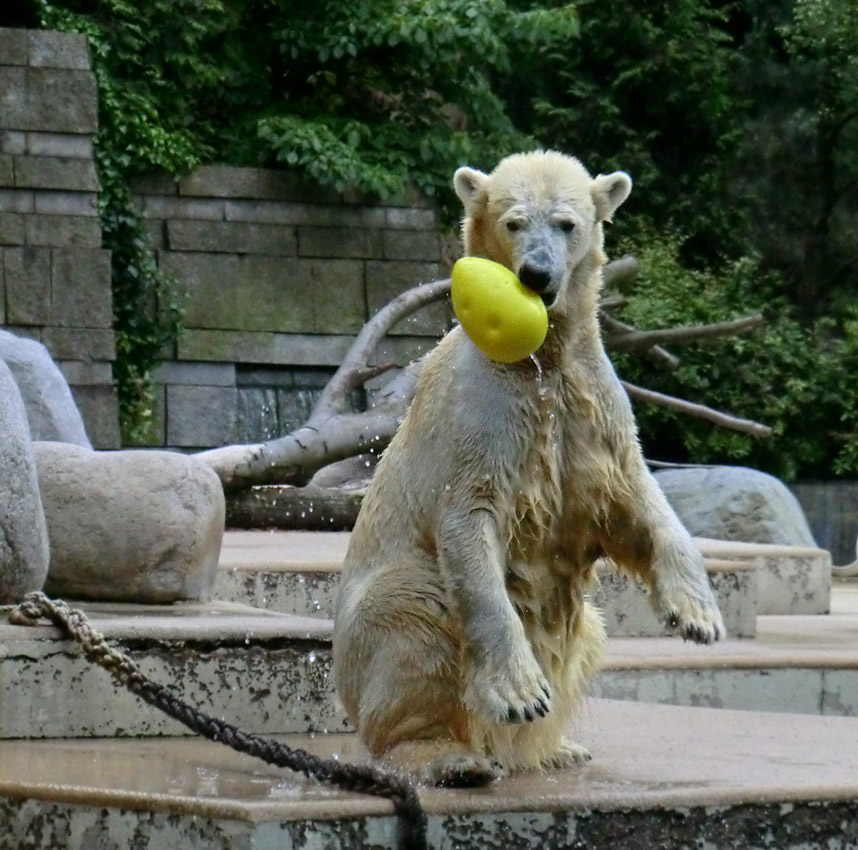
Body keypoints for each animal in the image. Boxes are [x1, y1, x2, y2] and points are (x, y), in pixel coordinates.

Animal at [332, 149, 720, 784]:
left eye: (566, 223)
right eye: (514, 222)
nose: (537, 273)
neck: (540, 358)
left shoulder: (592, 409)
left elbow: (633, 501)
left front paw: (696, 615)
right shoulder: (483, 412)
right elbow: (469, 520)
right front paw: (519, 694)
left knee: (591, 631)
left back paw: (558, 749)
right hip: (383, 623)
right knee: (415, 619)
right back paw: (450, 756)